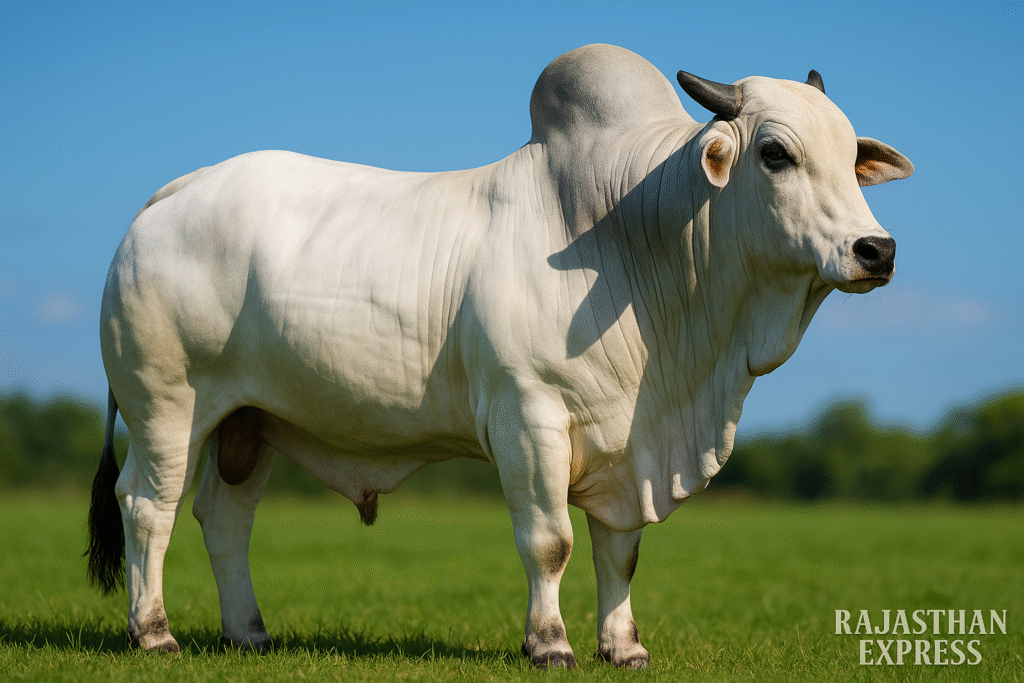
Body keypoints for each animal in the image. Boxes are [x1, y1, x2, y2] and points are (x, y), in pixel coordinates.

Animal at [87, 43, 913, 669]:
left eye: (851, 156)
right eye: (775, 153)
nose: (876, 249)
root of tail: (170, 196)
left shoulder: (630, 445)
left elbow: (620, 552)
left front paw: (624, 647)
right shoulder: (530, 415)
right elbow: (549, 541)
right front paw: (549, 643)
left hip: (247, 420)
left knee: (225, 517)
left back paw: (249, 632)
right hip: (169, 405)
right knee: (148, 505)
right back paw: (154, 632)